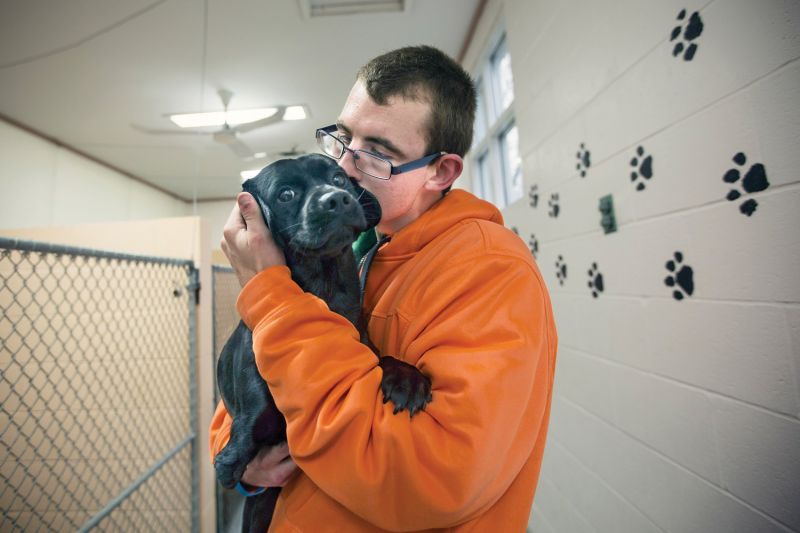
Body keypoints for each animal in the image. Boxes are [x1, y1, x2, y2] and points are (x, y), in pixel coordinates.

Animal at [214, 154, 432, 532]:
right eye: (285, 194)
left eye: (339, 179)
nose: (337, 199)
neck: (326, 291)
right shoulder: (247, 433)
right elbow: (239, 444)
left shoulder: (362, 341)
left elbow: (379, 357)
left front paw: (407, 378)